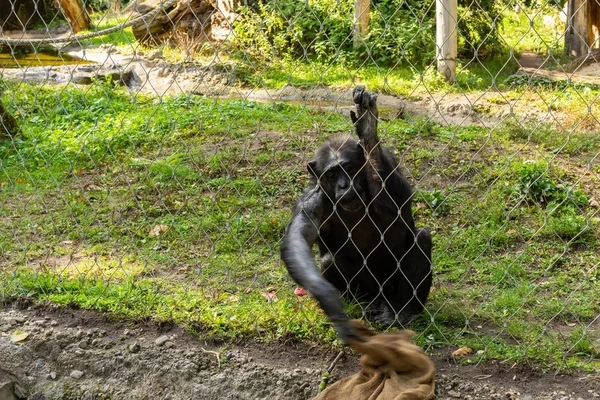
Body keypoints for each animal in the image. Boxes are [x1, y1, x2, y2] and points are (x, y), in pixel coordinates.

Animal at [280, 86, 432, 342]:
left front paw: (368, 128)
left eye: (349, 168)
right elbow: (299, 237)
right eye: (332, 175)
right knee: (330, 260)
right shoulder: (309, 202)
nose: (344, 185)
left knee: (421, 238)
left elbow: (396, 210)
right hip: (370, 292)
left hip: (391, 290)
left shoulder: (390, 164)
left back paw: (402, 310)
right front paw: (326, 296)